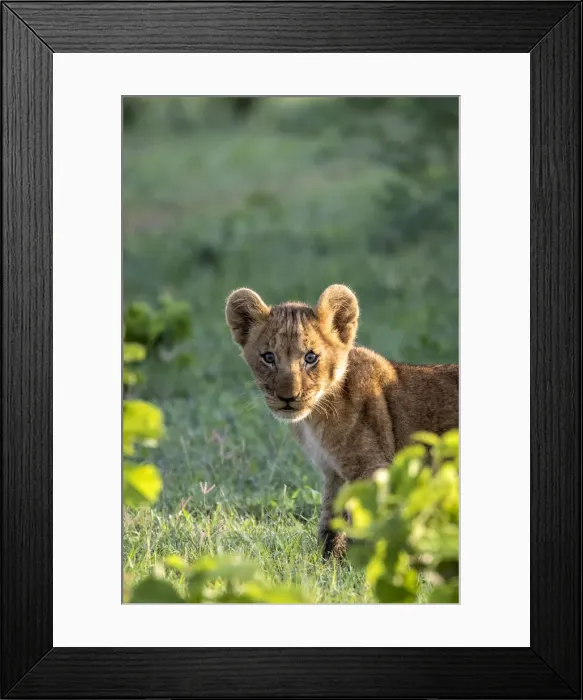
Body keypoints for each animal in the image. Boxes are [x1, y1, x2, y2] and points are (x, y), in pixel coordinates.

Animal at [225, 284, 458, 557]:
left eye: (311, 357)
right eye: (268, 357)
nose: (288, 397)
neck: (314, 418)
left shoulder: (370, 468)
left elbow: (362, 521)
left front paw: (356, 562)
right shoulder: (333, 471)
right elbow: (330, 518)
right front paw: (327, 561)